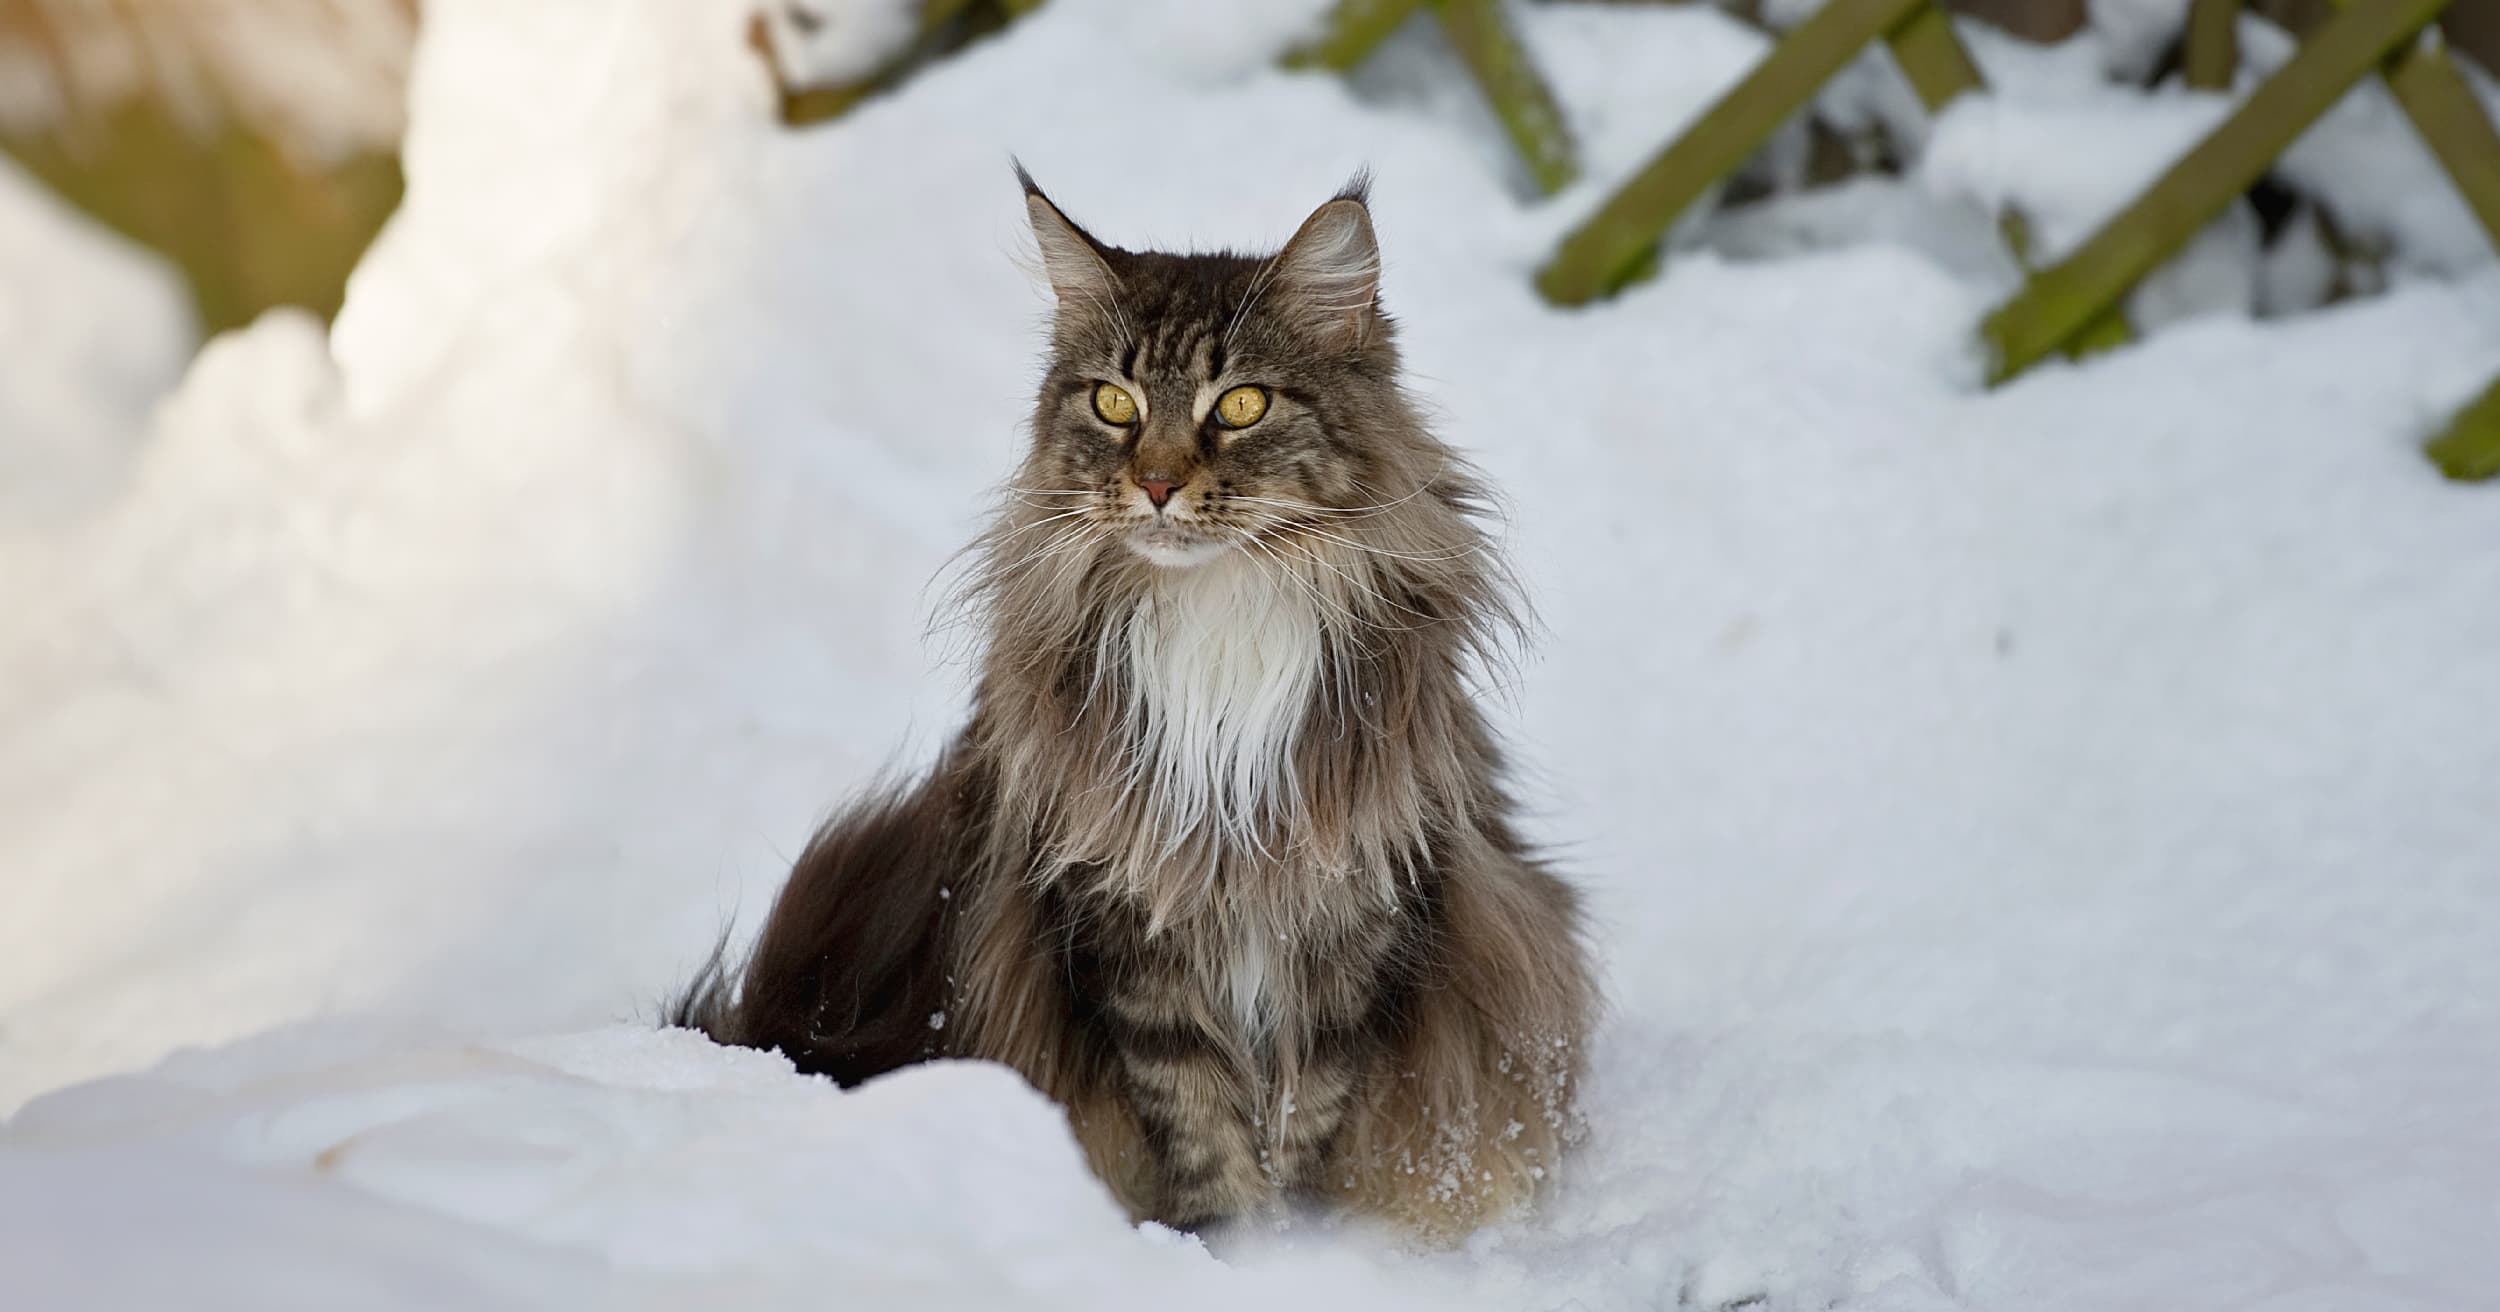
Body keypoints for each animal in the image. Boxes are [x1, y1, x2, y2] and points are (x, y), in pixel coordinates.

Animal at [675, 166, 1590, 1239]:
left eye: (1240, 404)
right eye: (1114, 403)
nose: (1154, 484)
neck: (1218, 615)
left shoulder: (1351, 912)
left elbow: (1305, 1111)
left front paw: (1292, 1244)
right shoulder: (1121, 916)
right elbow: (1196, 1119)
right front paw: (1233, 1245)